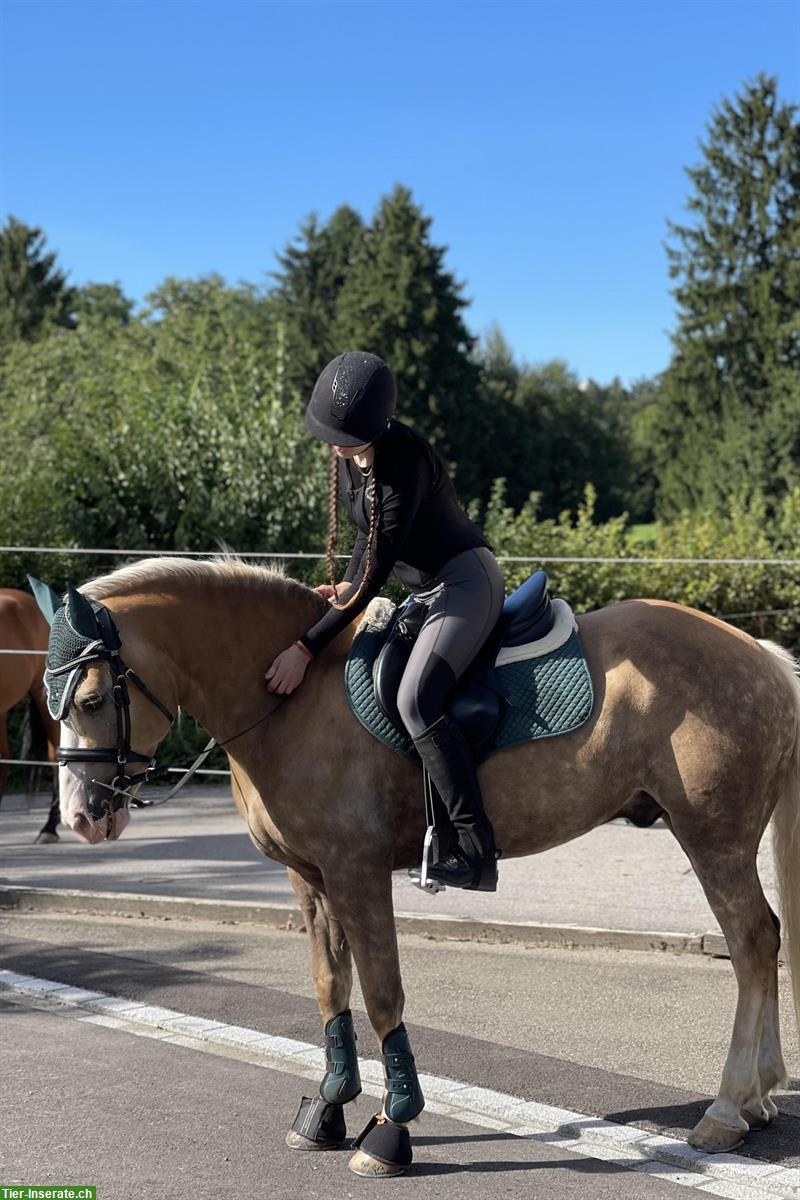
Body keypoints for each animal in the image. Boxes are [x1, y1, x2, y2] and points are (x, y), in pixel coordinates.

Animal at [42, 556, 800, 1176]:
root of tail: (759, 655)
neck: (291, 697)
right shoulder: (311, 879)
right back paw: (759, 1097)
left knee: (751, 941)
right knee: (762, 942)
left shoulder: (357, 871)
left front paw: (390, 1128)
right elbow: (330, 987)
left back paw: (728, 1109)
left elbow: (382, 993)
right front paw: (329, 1108)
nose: (81, 817)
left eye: (89, 700)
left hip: (713, 837)